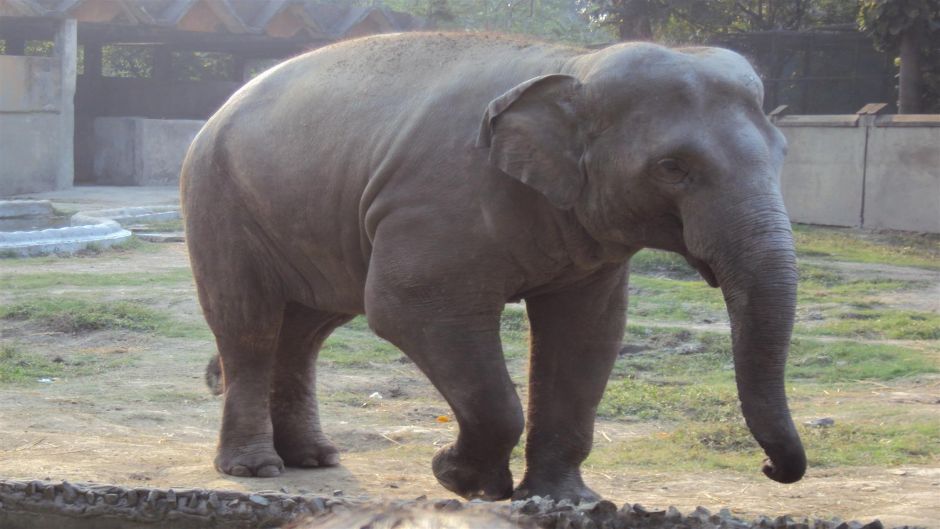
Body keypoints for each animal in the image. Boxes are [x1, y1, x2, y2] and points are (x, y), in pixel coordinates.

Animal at [181, 32, 805, 502]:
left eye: (783, 155)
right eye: (673, 167)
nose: (770, 470)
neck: (575, 63)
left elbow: (588, 334)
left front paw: (563, 499)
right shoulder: (438, 203)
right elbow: (406, 310)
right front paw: (460, 481)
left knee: (305, 330)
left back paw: (314, 458)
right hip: (218, 203)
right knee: (249, 325)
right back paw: (256, 469)